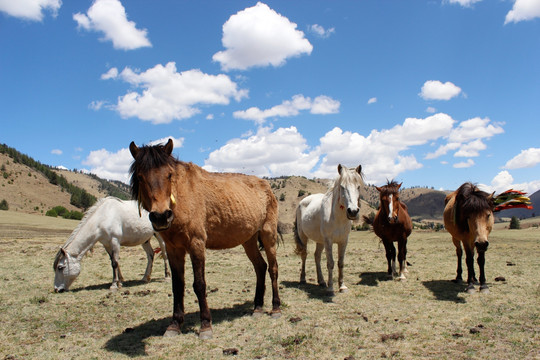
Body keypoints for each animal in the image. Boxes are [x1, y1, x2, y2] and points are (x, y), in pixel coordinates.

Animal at [129, 139, 280, 338]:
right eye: (140, 177)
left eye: (169, 175)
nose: (161, 216)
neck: (181, 198)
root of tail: (267, 186)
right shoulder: (173, 249)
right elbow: (177, 285)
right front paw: (174, 325)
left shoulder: (196, 244)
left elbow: (199, 284)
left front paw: (206, 325)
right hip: (248, 240)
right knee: (260, 267)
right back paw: (258, 308)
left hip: (268, 235)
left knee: (273, 268)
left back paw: (276, 308)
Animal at [294, 165, 364, 294]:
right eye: (342, 187)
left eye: (358, 187)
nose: (353, 211)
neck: (337, 217)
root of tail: (302, 202)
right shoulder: (329, 241)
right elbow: (330, 263)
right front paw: (331, 287)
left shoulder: (343, 241)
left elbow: (341, 263)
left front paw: (342, 286)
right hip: (304, 237)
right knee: (304, 255)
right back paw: (303, 279)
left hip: (320, 241)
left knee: (317, 256)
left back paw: (321, 281)